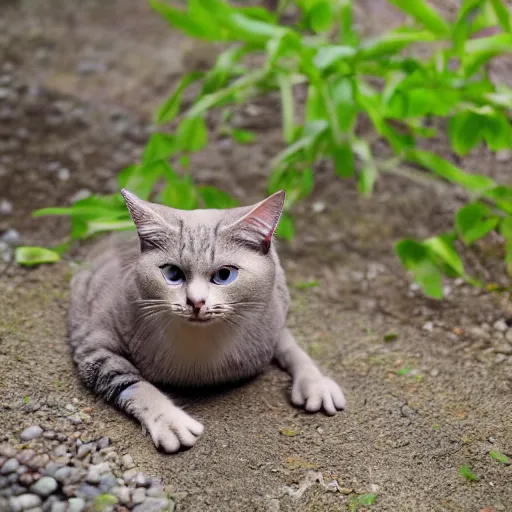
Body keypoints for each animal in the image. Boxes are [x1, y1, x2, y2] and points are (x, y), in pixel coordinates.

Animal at [68, 190, 346, 454]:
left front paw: (316, 383)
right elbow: (133, 385)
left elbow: (291, 347)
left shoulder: (271, 314)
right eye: (173, 274)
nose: (196, 302)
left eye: (224, 275)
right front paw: (170, 421)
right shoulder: (94, 346)